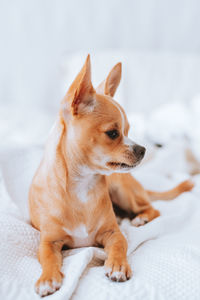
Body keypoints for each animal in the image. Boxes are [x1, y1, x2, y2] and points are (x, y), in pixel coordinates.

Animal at [28, 55, 193, 296]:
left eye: (129, 130)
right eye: (113, 133)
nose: (143, 149)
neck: (82, 186)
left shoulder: (113, 233)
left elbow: (119, 246)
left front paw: (117, 265)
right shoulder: (49, 241)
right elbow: (48, 257)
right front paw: (48, 278)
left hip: (122, 190)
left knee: (152, 207)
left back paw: (141, 218)